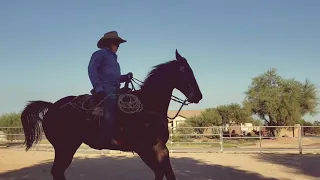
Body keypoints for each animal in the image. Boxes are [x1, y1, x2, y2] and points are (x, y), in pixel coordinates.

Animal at [20, 49, 202, 180]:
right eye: (186, 71)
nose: (198, 96)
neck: (149, 106)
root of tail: (52, 106)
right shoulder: (144, 148)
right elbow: (162, 173)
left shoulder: (159, 148)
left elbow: (164, 173)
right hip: (64, 147)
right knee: (57, 171)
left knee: (58, 172)